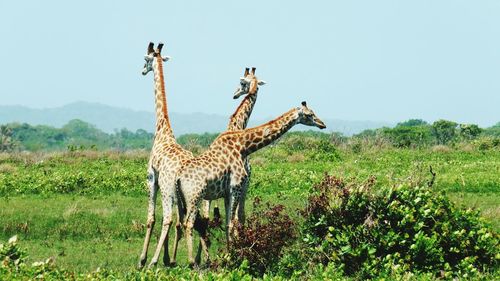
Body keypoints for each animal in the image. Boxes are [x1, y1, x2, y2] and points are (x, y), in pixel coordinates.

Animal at [175, 100, 324, 264]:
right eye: (309, 114)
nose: (322, 124)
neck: (243, 146)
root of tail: (178, 177)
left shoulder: (227, 193)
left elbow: (228, 223)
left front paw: (230, 254)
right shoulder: (236, 187)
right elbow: (232, 223)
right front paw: (232, 256)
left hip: (181, 199)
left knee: (185, 223)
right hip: (195, 197)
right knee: (189, 223)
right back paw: (192, 262)